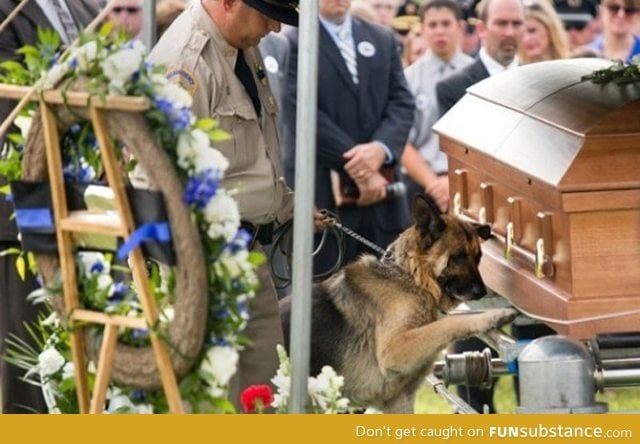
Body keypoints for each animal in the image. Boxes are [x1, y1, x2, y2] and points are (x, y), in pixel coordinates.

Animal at [282, 196, 520, 414]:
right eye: (458, 256)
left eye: (478, 257)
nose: (482, 292)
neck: (409, 278)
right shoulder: (395, 349)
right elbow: (448, 324)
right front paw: (495, 315)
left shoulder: (399, 400)